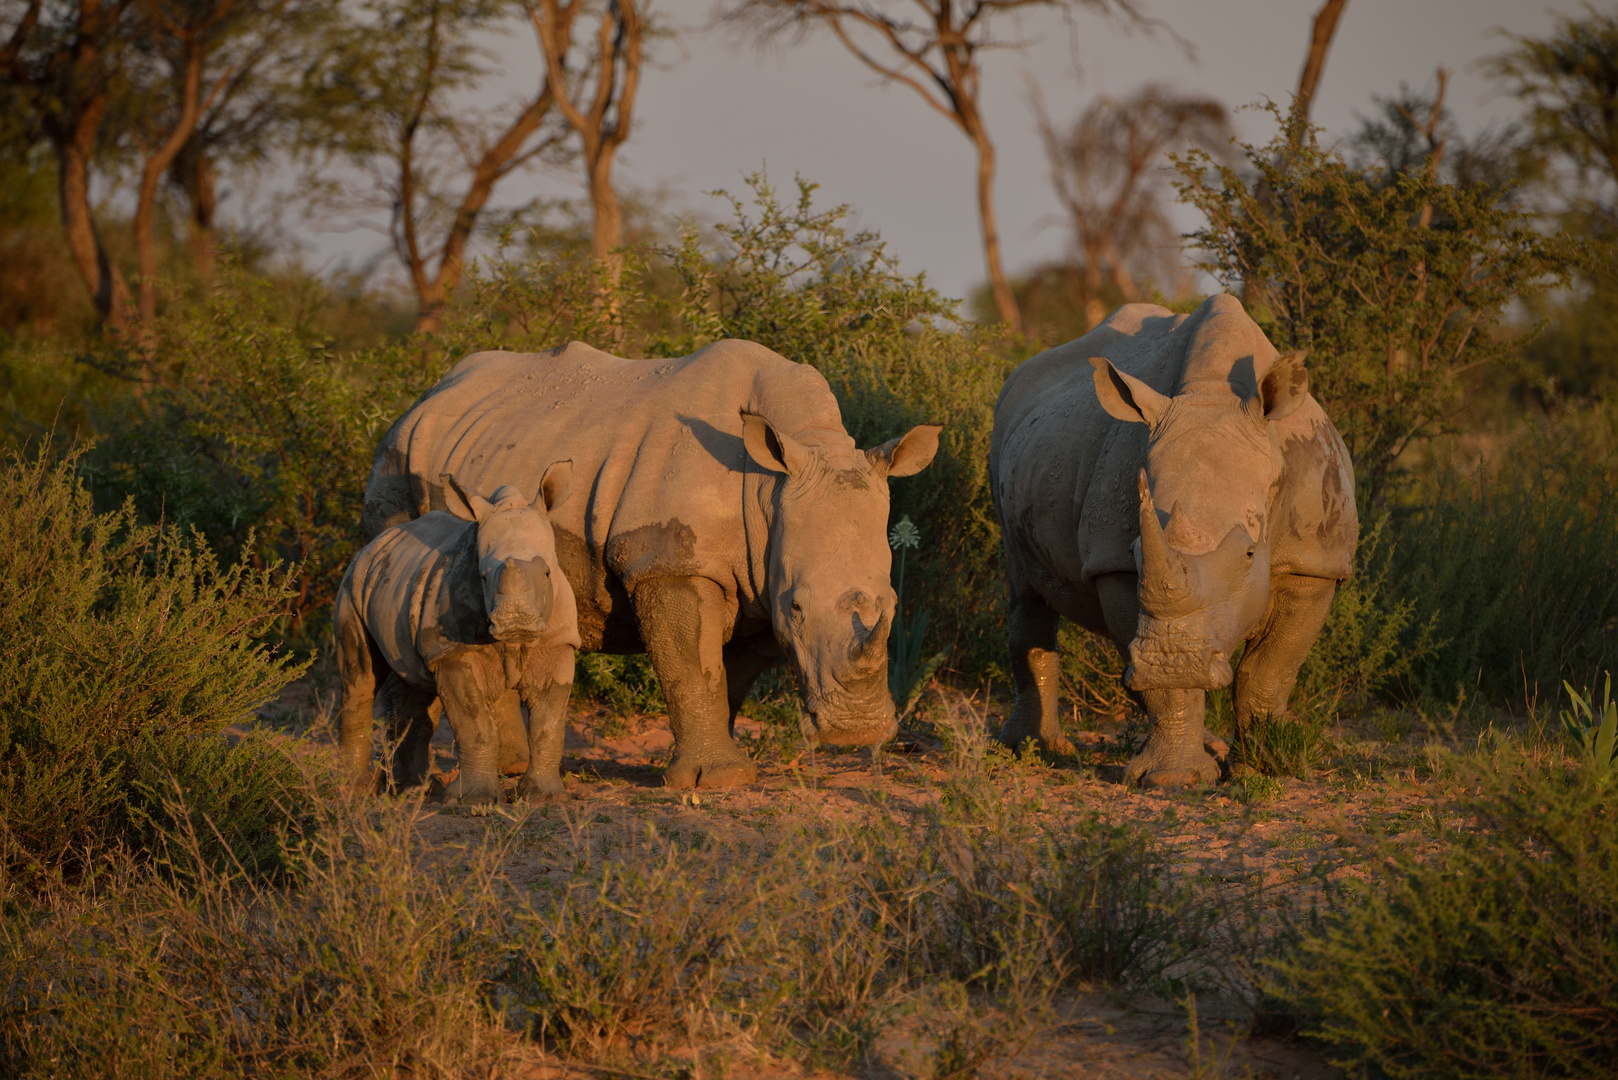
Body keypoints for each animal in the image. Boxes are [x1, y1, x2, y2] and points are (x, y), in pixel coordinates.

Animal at [331, 466, 579, 803]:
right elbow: (475, 723)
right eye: (483, 577)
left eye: (548, 573)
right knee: (360, 678)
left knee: (418, 687)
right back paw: (357, 792)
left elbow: (548, 723)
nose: (516, 622)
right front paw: (475, 801)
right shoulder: (454, 650)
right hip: (353, 582)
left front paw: (545, 797)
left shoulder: (559, 642)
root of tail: (375, 543)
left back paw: (417, 790)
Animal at [990, 296, 1359, 786]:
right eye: (1136, 551)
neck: (1212, 392)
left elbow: (1270, 669)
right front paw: (1174, 779)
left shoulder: (1314, 559)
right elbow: (1163, 683)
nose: (1174, 660)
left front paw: (1266, 765)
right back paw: (1033, 749)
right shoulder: (1114, 562)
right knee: (1025, 589)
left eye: (1249, 554)